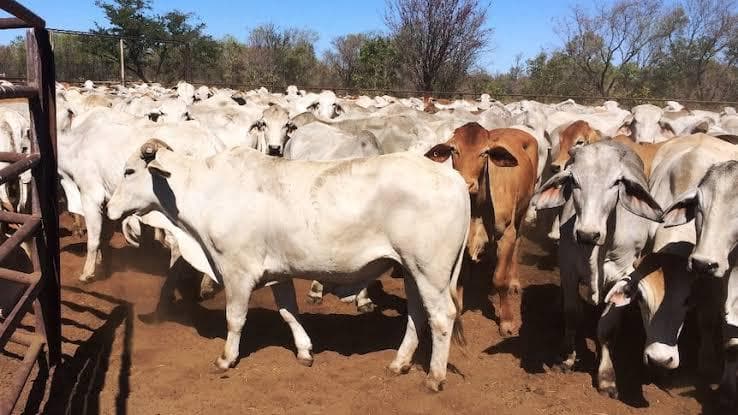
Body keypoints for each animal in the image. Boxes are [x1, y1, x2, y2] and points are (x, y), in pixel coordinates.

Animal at [107, 141, 470, 391]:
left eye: (129, 171)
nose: (109, 208)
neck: (205, 192)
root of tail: (451, 176)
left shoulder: (237, 271)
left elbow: (235, 319)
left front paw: (226, 358)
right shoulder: (277, 273)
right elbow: (288, 312)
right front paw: (305, 351)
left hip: (430, 271)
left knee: (441, 317)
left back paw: (434, 377)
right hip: (411, 270)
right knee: (417, 314)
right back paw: (399, 363)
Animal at [425, 123, 538, 336]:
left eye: (484, 152)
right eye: (453, 149)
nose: (466, 183)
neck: (477, 209)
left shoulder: (507, 234)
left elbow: (499, 279)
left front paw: (507, 321)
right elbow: (459, 279)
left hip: (524, 207)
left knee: (517, 244)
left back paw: (514, 281)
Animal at [532, 140, 664, 397]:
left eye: (616, 182)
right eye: (574, 181)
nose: (587, 234)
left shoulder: (623, 278)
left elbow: (607, 329)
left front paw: (606, 377)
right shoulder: (568, 268)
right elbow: (572, 314)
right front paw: (567, 357)